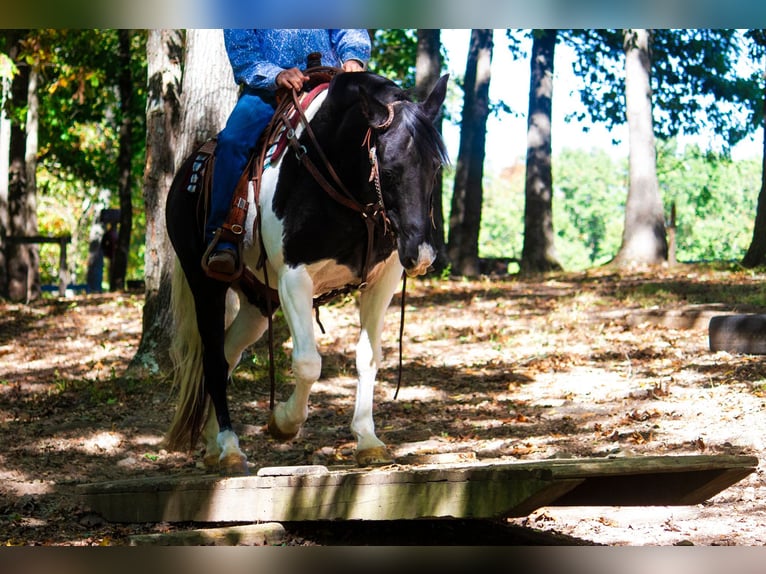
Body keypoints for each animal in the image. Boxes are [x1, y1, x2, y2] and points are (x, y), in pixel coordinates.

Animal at [163, 71, 450, 476]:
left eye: (436, 168)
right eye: (390, 170)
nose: (421, 254)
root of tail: (188, 171)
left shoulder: (382, 281)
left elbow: (368, 357)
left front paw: (368, 441)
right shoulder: (294, 279)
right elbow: (308, 363)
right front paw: (283, 423)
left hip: (257, 303)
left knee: (229, 353)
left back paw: (212, 443)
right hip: (205, 283)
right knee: (214, 359)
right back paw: (230, 447)